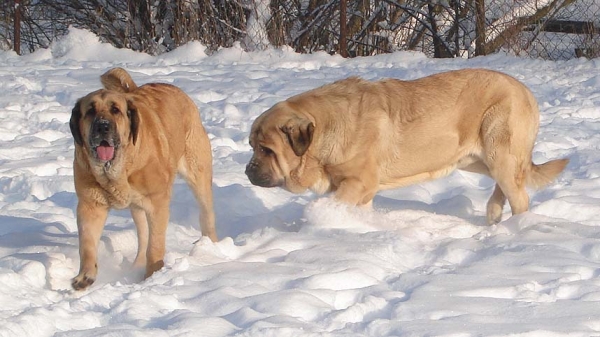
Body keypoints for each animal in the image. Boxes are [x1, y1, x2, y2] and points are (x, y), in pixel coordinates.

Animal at [70, 68, 216, 288]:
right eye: (90, 111)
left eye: (116, 110)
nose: (103, 126)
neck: (117, 170)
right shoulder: (90, 205)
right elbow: (87, 244)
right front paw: (85, 276)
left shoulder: (157, 202)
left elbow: (155, 245)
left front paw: (153, 275)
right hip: (137, 206)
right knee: (143, 233)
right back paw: (136, 265)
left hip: (197, 173)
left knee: (206, 213)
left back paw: (212, 249)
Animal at [246, 68, 568, 223]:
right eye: (252, 146)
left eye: (266, 150)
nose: (248, 170)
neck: (325, 129)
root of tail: (526, 91)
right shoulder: (363, 191)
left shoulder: (358, 182)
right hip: (478, 159)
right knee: (509, 184)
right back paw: (493, 215)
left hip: (498, 149)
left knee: (519, 196)